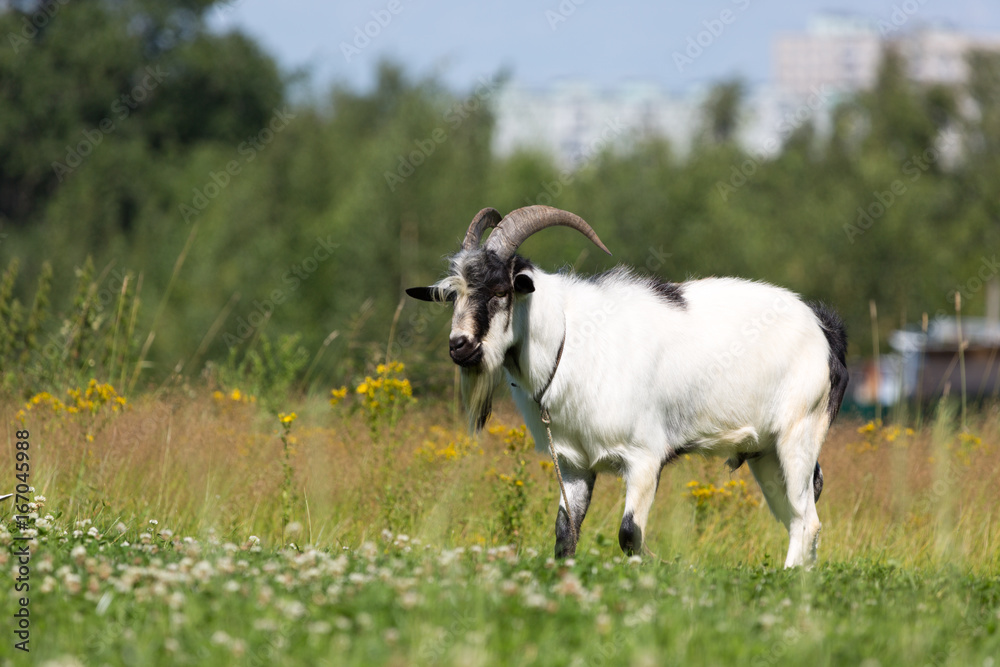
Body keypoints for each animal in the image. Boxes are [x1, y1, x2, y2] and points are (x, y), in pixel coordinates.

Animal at [407, 206, 848, 567]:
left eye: (501, 290)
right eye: (453, 295)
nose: (460, 347)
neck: (569, 338)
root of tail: (825, 327)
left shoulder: (644, 457)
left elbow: (629, 535)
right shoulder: (573, 462)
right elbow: (565, 534)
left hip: (798, 433)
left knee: (807, 520)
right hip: (765, 453)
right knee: (795, 516)